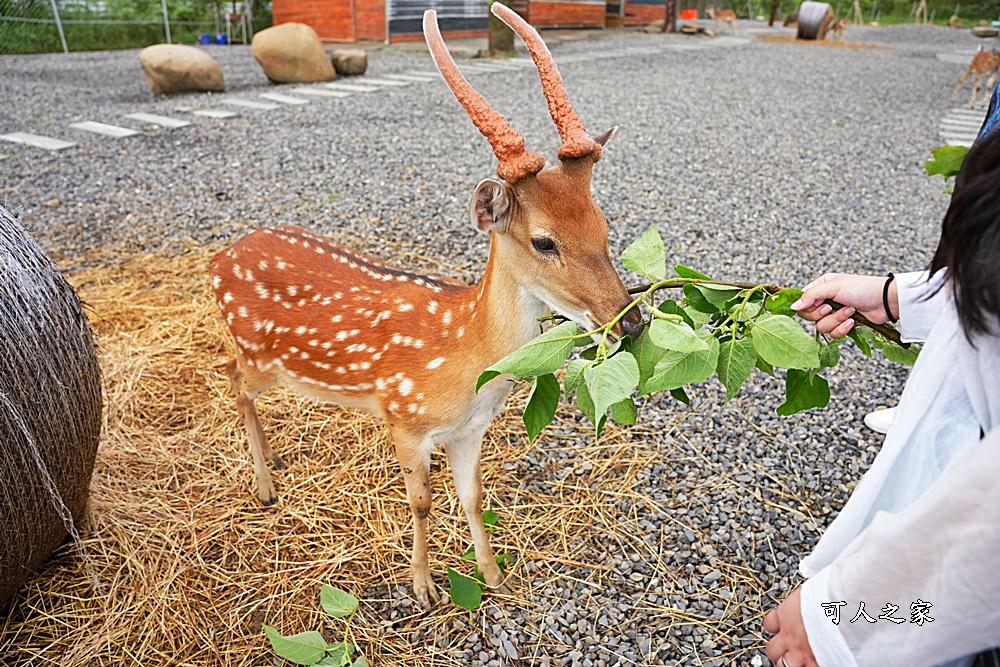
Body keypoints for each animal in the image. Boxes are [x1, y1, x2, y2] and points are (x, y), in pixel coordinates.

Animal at [212, 5, 644, 608]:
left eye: (604, 225)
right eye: (543, 241)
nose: (632, 322)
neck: (465, 356)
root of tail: (219, 257)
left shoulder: (470, 431)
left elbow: (473, 496)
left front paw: (492, 576)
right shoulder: (405, 419)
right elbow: (421, 502)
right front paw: (424, 587)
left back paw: (273, 463)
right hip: (255, 351)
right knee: (231, 378)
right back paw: (266, 485)